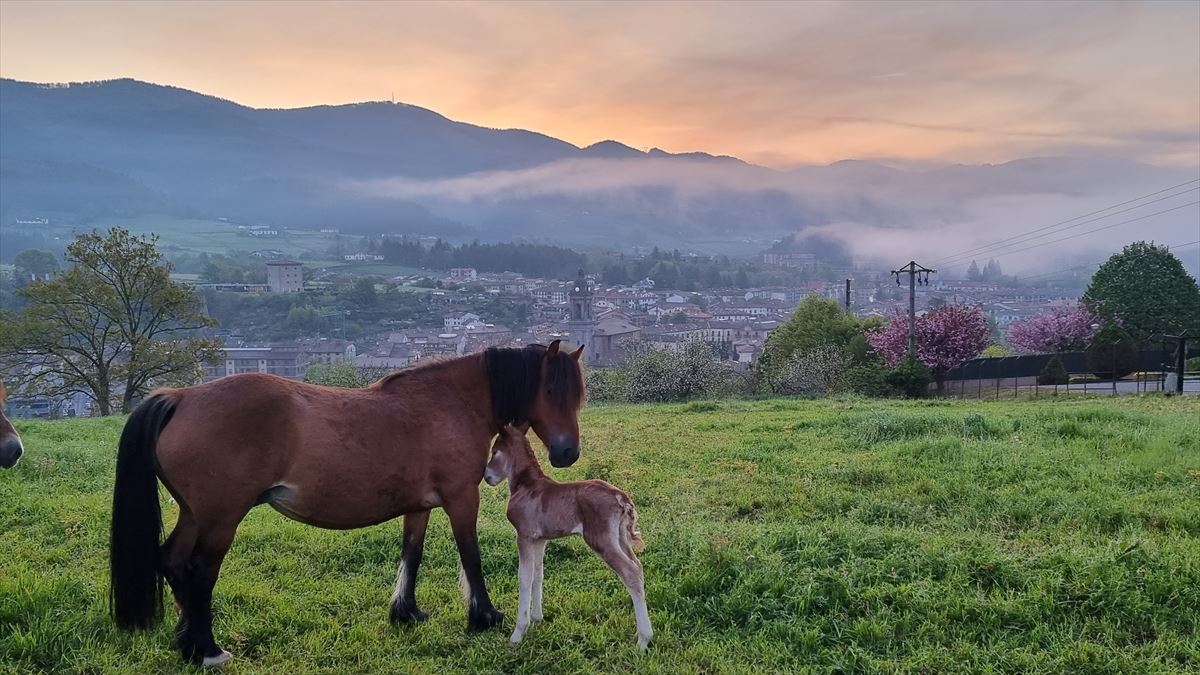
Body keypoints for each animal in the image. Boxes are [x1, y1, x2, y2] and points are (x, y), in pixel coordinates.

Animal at [482, 422, 652, 648]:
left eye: (495, 451)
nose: (487, 476)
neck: (526, 485)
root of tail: (621, 497)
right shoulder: (539, 539)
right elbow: (538, 574)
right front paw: (537, 619)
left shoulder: (524, 536)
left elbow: (524, 578)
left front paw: (518, 633)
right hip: (620, 538)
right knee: (638, 567)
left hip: (600, 540)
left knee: (630, 572)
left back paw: (643, 640)